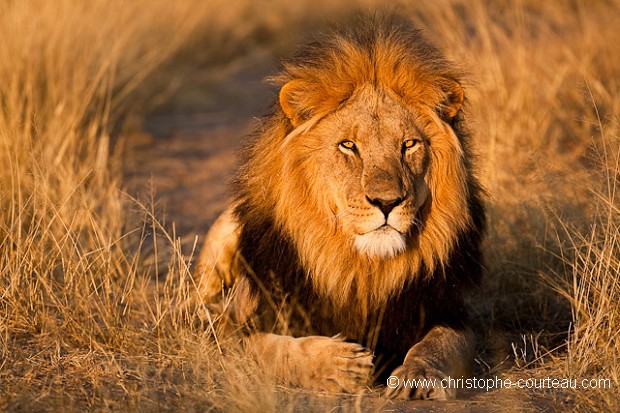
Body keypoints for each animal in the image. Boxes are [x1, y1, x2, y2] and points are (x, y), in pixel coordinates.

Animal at [193, 13, 484, 400]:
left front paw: (419, 375)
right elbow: (270, 348)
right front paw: (340, 365)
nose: (387, 202)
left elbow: (441, 343)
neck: (361, 270)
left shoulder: (448, 311)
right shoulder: (235, 331)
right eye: (348, 145)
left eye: (409, 144)